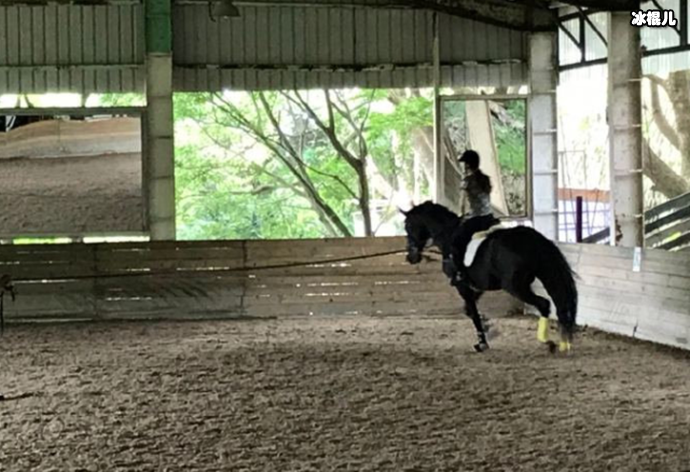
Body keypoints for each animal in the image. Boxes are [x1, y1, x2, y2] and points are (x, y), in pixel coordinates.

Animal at [398, 201, 576, 352]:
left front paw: (482, 342)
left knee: (543, 303)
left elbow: (473, 313)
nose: (410, 257)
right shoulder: (477, 286)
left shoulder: (462, 286)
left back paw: (546, 341)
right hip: (545, 274)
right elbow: (468, 311)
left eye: (408, 226)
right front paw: (488, 328)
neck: (448, 235)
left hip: (515, 287)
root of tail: (530, 239)